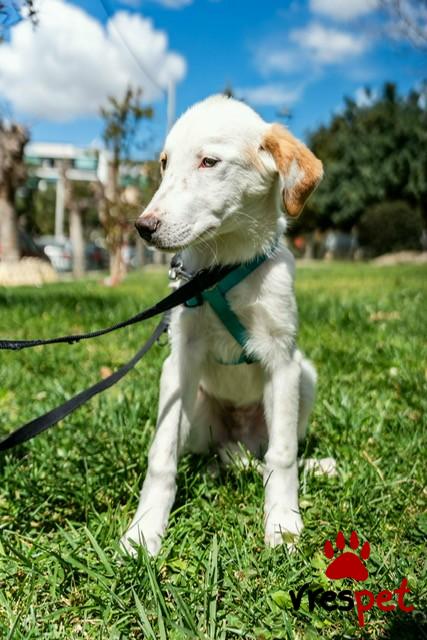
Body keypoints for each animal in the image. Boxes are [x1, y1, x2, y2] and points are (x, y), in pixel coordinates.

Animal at [120, 95, 323, 557]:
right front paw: (144, 531)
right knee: (210, 453)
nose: (143, 227)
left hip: (305, 379)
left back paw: (312, 465)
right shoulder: (179, 361)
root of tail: (243, 435)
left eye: (209, 162)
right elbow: (161, 457)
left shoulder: (283, 362)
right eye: (164, 163)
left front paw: (282, 523)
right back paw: (223, 464)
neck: (226, 267)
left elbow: (283, 455)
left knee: (270, 453)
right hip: (197, 413)